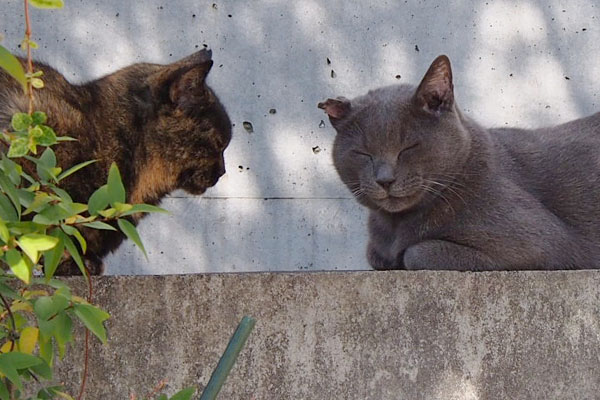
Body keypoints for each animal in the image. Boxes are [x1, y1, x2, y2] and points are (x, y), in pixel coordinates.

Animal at [322, 54, 600, 270]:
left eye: (408, 147)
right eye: (363, 153)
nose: (384, 180)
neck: (395, 227)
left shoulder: (541, 245)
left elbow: (415, 252)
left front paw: (402, 257)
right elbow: (374, 254)